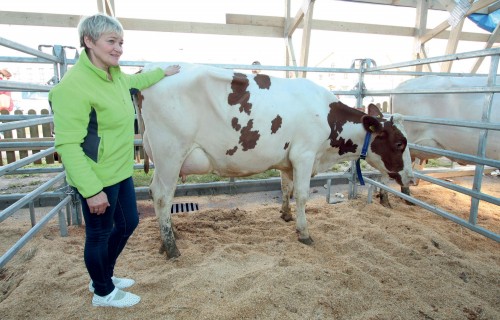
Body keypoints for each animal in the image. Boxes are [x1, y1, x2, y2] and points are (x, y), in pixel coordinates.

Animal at [137, 63, 414, 260]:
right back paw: (171, 246)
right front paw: (304, 233)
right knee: (162, 196)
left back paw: (170, 235)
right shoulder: (304, 155)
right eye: (400, 143)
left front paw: (286, 215)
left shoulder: (288, 159)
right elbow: (301, 194)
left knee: (153, 191)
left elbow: (285, 187)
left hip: (162, 160)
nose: (411, 178)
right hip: (171, 153)